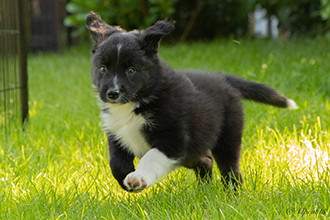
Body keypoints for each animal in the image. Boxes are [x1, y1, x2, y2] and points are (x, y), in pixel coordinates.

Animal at [85, 12, 300, 192]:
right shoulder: (117, 133)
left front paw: (138, 178)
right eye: (103, 69)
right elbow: (116, 163)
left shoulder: (172, 140)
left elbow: (151, 157)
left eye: (131, 70)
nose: (112, 93)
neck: (136, 102)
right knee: (206, 160)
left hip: (226, 136)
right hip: (193, 150)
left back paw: (232, 194)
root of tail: (223, 79)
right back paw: (203, 190)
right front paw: (126, 181)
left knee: (230, 167)